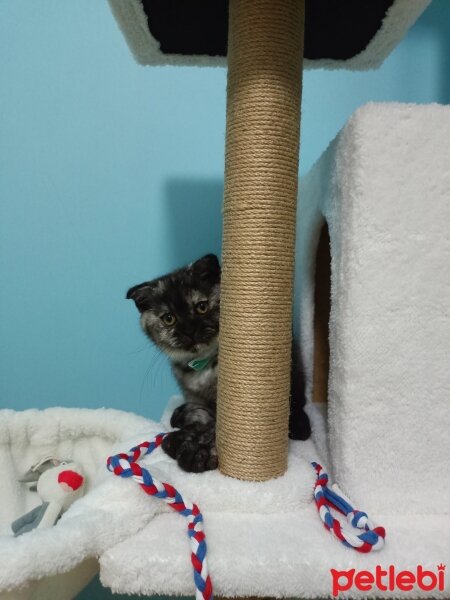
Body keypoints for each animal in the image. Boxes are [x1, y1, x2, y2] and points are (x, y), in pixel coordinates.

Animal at [125, 253, 310, 474]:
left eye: (201, 307)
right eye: (169, 319)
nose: (189, 330)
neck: (203, 365)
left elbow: (216, 428)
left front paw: (197, 451)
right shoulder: (197, 396)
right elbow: (205, 417)